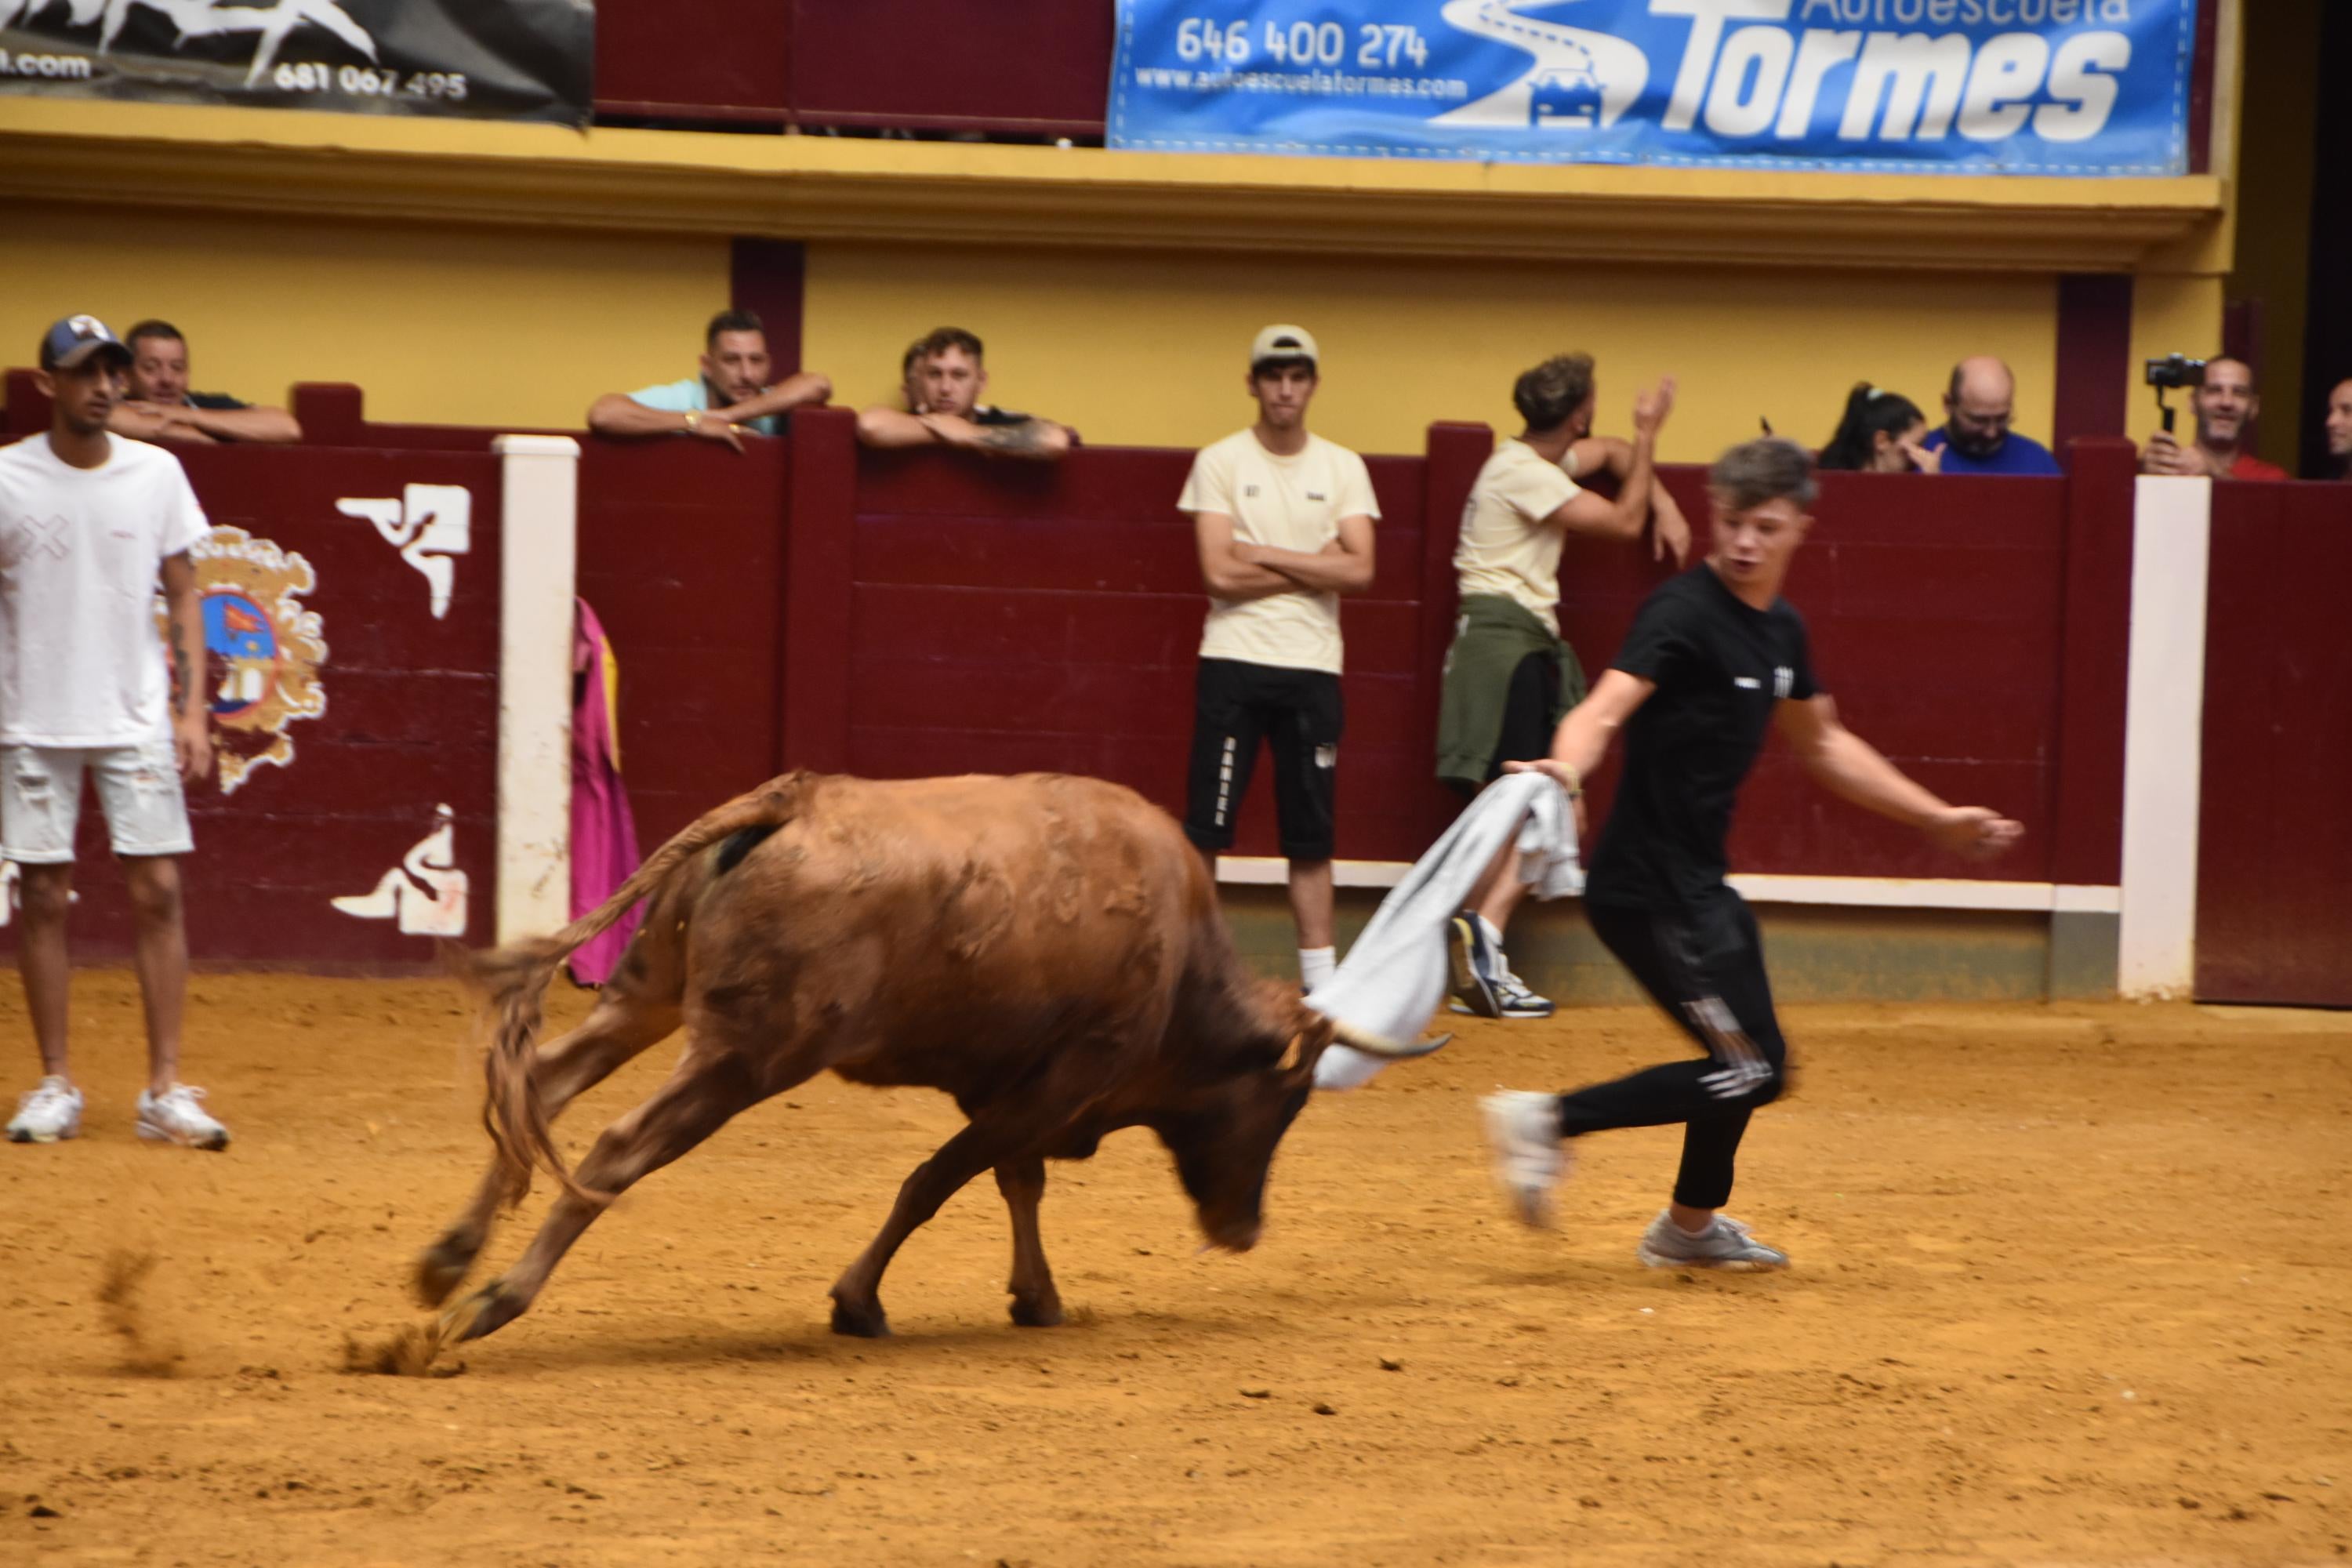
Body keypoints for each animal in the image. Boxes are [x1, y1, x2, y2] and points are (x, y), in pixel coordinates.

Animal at [416, 766, 1411, 1345]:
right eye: (1287, 1101)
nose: (1245, 1230)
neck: (1180, 957)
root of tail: (795, 796)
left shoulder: (1016, 1084)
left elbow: (1014, 1181)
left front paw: (1035, 1297)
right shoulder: (1061, 1081)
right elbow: (936, 1181)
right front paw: (858, 1301)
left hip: (646, 995)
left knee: (541, 1081)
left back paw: (447, 1261)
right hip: (744, 1058)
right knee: (619, 1144)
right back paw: (493, 1302)